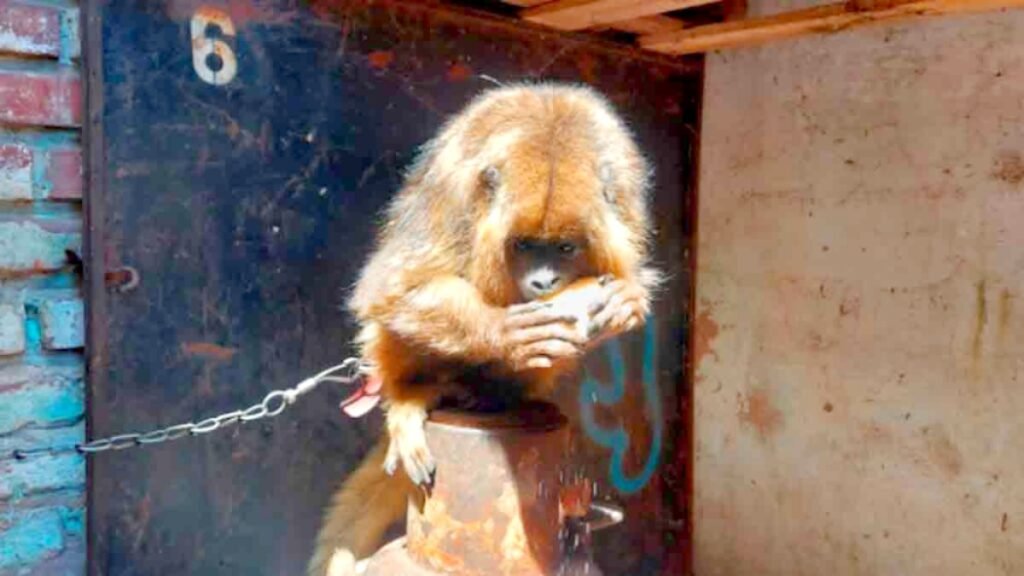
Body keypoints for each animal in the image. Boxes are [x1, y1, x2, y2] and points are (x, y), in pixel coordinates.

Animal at [309, 82, 659, 576]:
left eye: (565, 248)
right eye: (525, 246)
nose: (544, 282)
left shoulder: (627, 201)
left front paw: (627, 302)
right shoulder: (454, 189)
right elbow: (391, 289)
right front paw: (505, 334)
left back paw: (496, 394)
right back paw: (413, 397)